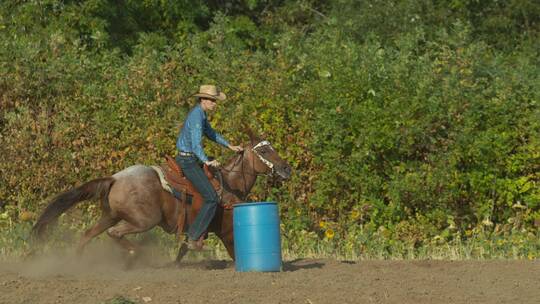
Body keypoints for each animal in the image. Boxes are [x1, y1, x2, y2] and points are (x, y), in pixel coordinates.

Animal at [30, 128, 292, 266]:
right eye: (264, 149)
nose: (286, 168)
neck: (230, 184)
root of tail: (115, 178)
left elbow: (184, 249)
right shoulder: (227, 230)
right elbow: (233, 251)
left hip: (110, 216)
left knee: (87, 235)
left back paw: (78, 262)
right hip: (144, 220)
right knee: (114, 234)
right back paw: (139, 254)